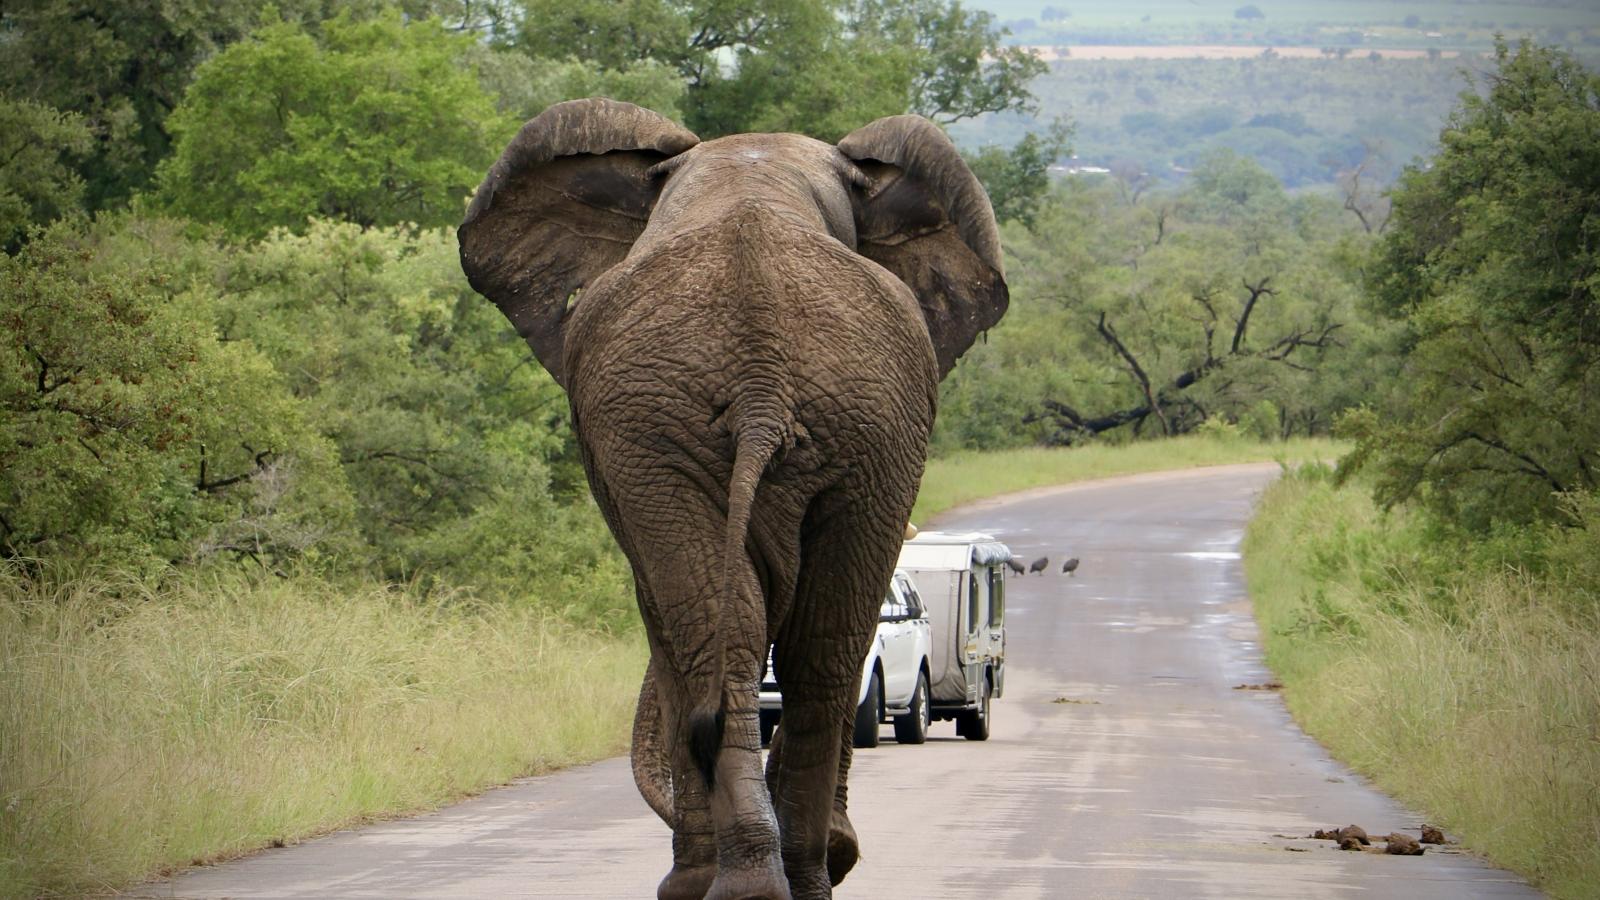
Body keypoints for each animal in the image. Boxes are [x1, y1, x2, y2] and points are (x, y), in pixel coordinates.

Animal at [457, 99, 1004, 896]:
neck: (750, 179)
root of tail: (759, 373)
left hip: (742, 426)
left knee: (751, 638)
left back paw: (760, 880)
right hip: (813, 424)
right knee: (802, 644)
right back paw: (780, 879)